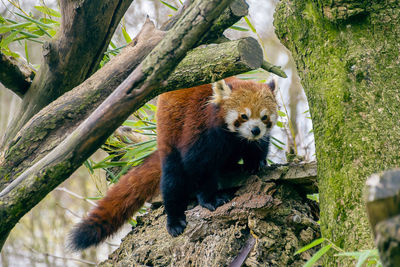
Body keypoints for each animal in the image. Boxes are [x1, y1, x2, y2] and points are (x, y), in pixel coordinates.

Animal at [69, 77, 276, 251]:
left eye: (264, 117)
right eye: (243, 116)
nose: (255, 130)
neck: (233, 136)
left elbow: (257, 147)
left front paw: (255, 163)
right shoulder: (198, 127)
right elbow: (197, 166)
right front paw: (210, 198)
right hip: (169, 137)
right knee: (172, 180)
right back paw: (175, 219)